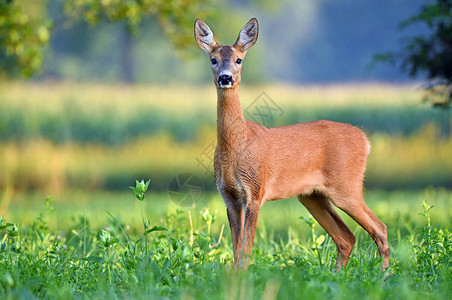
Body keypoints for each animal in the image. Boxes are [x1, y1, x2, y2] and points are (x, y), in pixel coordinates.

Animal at [193, 18, 388, 272]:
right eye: (213, 59)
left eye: (239, 60)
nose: (225, 78)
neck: (236, 146)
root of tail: (365, 140)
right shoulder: (229, 196)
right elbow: (236, 252)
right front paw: (235, 277)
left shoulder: (255, 191)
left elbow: (245, 250)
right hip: (312, 195)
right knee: (346, 237)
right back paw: (338, 275)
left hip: (346, 185)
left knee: (380, 229)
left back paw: (384, 275)